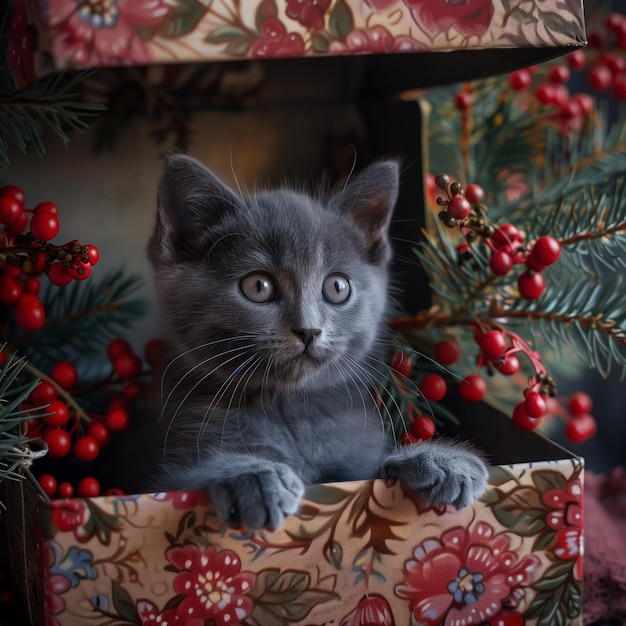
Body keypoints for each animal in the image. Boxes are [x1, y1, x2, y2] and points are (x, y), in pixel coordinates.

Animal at [146, 155, 488, 528]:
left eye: (337, 287)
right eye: (258, 286)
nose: (308, 330)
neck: (289, 407)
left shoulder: (356, 463)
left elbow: (372, 470)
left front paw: (439, 459)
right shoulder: (169, 463)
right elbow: (183, 482)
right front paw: (253, 475)